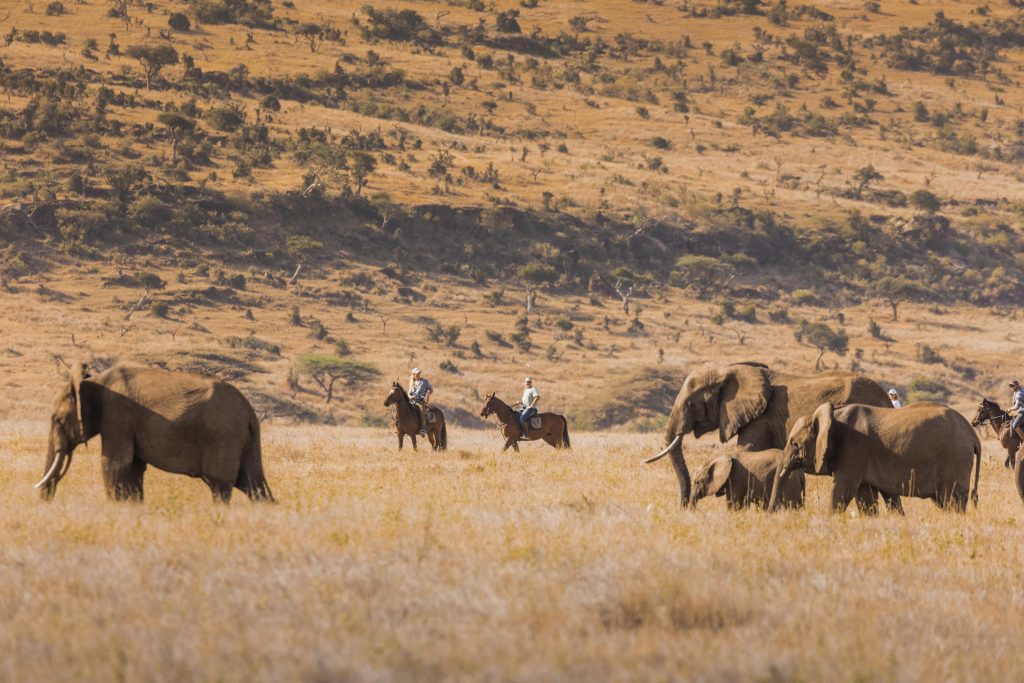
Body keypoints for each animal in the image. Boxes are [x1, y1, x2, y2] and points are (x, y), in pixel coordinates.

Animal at [38, 362, 274, 501]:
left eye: (58, 420)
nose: (47, 501)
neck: (92, 381)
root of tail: (249, 412)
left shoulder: (117, 416)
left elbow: (115, 466)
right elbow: (134, 468)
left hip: (223, 437)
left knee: (221, 486)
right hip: (244, 440)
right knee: (252, 485)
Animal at [647, 362, 897, 507]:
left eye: (691, 405)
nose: (685, 508)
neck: (727, 370)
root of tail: (887, 400)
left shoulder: (760, 419)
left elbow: (748, 451)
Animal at [770, 401, 983, 511]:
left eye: (794, 444)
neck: (833, 414)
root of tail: (973, 436)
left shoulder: (854, 449)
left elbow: (842, 491)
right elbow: (865, 497)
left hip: (955, 459)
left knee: (953, 500)